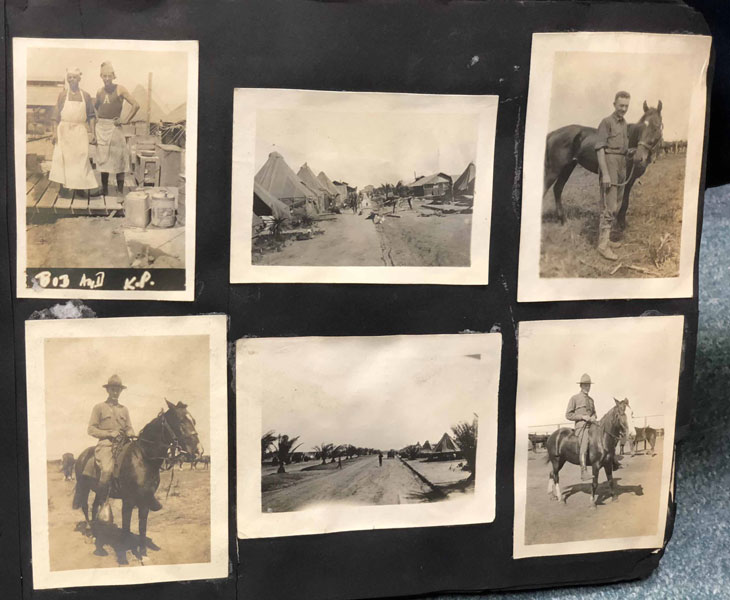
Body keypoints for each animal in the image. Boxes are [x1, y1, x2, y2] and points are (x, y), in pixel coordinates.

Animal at [72, 400, 202, 560]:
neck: (143, 459)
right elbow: (126, 526)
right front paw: (123, 552)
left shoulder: (145, 500)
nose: (198, 450)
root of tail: (82, 455)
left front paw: (143, 554)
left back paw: (97, 531)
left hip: (98, 489)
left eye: (193, 421)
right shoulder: (128, 501)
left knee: (95, 505)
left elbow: (142, 526)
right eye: (180, 421)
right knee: (85, 506)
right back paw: (91, 532)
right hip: (84, 488)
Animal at [544, 101, 664, 230]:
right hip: (554, 170)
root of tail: (553, 133)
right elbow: (623, 201)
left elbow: (625, 200)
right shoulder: (626, 179)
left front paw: (621, 222)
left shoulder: (630, 180)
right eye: (641, 127)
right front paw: (620, 224)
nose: (638, 157)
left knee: (558, 189)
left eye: (656, 127)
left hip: (568, 167)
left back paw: (563, 220)